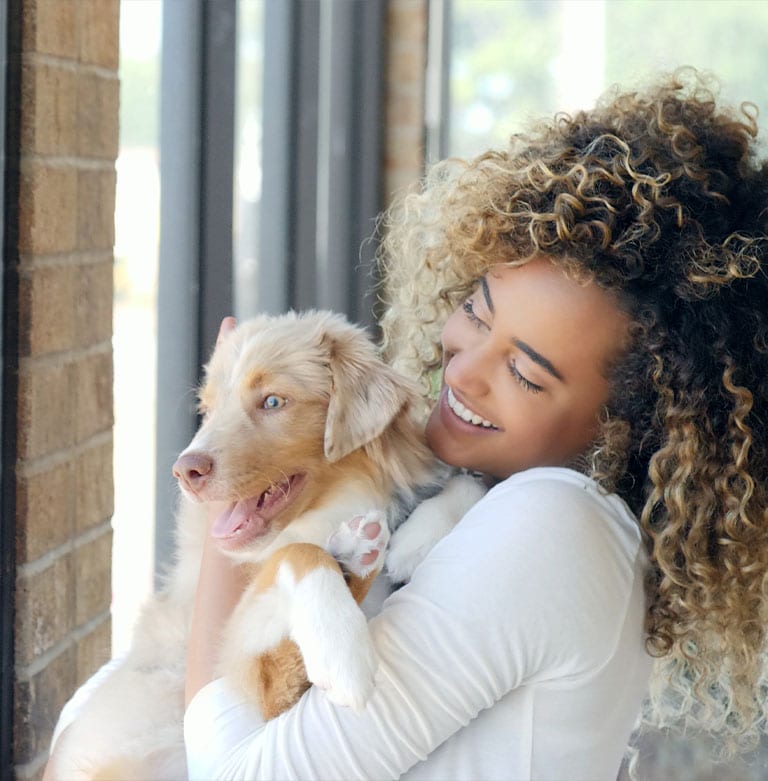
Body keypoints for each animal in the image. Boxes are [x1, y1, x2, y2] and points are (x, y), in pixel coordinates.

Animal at [48, 310, 444, 780]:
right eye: (207, 409)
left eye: (273, 402)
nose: (184, 472)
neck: (330, 511)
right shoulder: (253, 677)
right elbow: (296, 553)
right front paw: (343, 654)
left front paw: (418, 535)